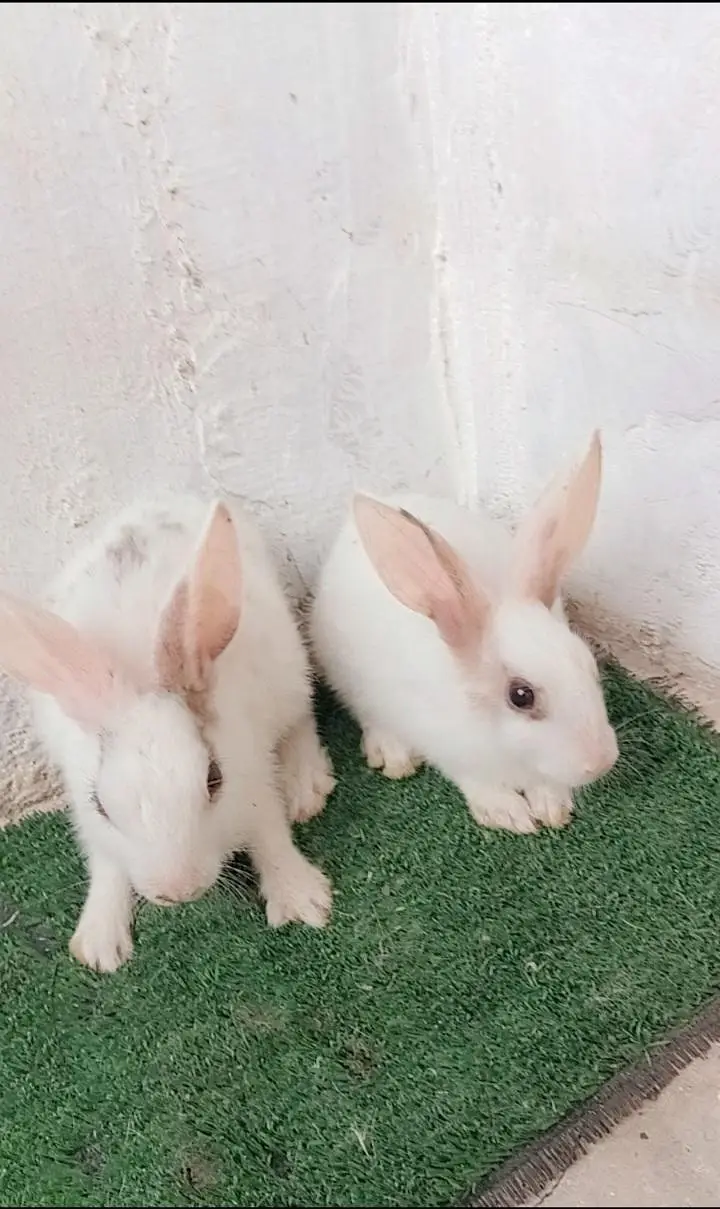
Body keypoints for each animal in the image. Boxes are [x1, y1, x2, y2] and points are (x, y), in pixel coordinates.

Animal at [0, 493, 336, 972]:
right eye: (101, 804)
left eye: (214, 780)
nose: (177, 892)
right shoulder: (89, 817)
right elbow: (106, 865)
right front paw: (98, 945)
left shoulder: (253, 781)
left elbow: (269, 832)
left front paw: (301, 899)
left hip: (289, 670)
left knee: (300, 717)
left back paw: (306, 787)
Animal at [310, 431, 618, 836]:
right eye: (521, 696)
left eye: (590, 665)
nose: (600, 762)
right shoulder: (450, 749)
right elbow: (479, 783)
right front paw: (509, 814)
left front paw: (552, 806)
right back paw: (392, 754)